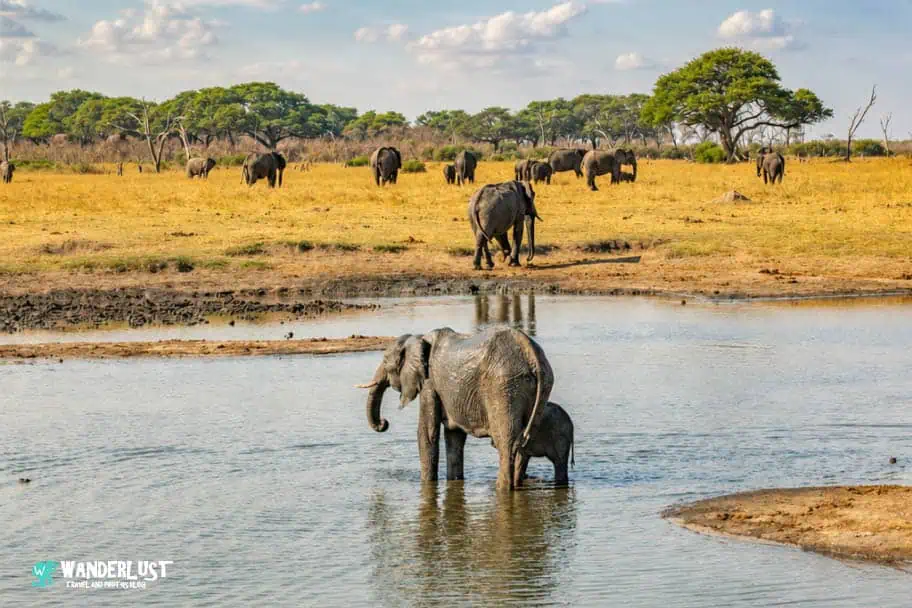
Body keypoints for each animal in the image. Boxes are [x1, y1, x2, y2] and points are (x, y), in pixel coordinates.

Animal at [357, 325, 555, 490]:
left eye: (385, 360)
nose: (383, 423)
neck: (419, 338)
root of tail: (531, 352)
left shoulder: (429, 383)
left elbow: (427, 433)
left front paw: (427, 485)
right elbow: (454, 437)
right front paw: (454, 481)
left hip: (504, 385)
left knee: (506, 443)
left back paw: (501, 489)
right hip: (539, 386)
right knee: (523, 442)